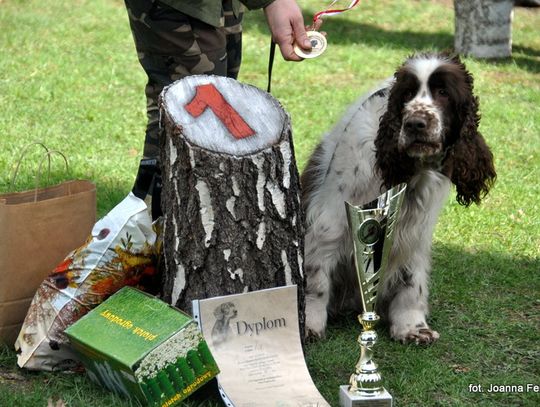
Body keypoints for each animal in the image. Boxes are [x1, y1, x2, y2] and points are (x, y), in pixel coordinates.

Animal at [302, 51, 496, 344]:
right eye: (407, 94)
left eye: (443, 92)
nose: (416, 124)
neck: (413, 171)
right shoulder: (330, 222)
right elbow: (316, 279)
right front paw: (309, 324)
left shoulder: (414, 230)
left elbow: (410, 279)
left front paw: (412, 327)